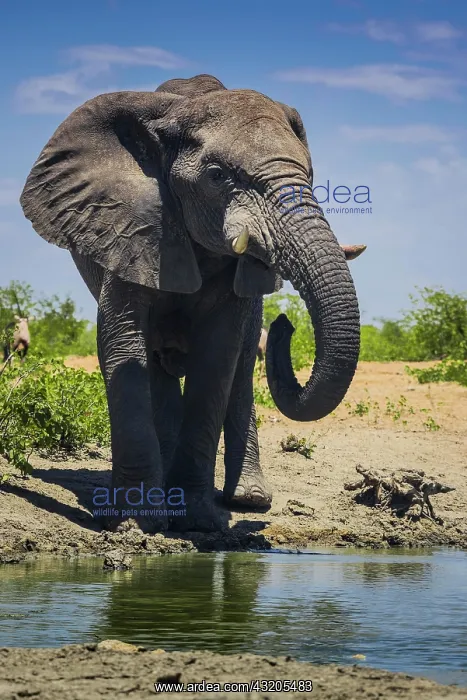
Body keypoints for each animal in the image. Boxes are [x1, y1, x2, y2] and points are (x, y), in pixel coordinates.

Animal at [20, 73, 362, 534]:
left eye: (310, 175)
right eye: (217, 176)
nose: (286, 325)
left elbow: (217, 359)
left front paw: (198, 520)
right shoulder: (130, 228)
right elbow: (123, 345)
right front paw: (137, 521)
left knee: (241, 367)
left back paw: (248, 499)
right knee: (156, 365)